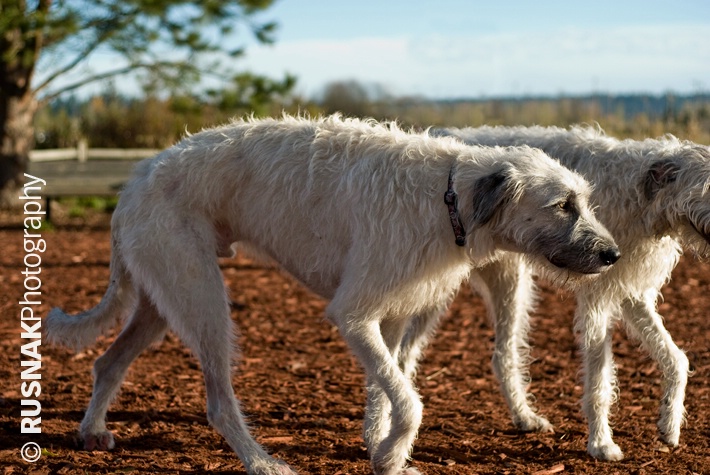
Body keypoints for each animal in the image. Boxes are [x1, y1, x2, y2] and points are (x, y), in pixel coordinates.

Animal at [46, 115, 624, 475]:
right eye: (563, 205)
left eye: (584, 200)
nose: (613, 255)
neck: (450, 196)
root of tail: (134, 181)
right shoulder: (354, 315)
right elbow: (409, 400)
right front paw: (391, 453)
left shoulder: (391, 316)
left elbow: (388, 388)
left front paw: (383, 451)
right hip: (202, 298)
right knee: (217, 403)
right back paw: (261, 461)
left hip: (162, 299)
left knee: (108, 362)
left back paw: (92, 431)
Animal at [426, 124, 708, 462]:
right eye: (708, 187)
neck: (639, 194)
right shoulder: (597, 299)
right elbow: (599, 378)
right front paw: (601, 443)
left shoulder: (631, 294)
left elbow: (676, 359)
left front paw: (670, 424)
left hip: (508, 283)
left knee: (503, 355)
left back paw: (524, 417)